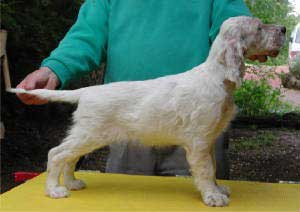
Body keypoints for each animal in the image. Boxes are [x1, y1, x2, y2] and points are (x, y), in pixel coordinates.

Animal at [9, 17, 286, 207]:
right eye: (259, 27)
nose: (283, 29)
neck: (217, 77)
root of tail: (87, 90)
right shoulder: (198, 140)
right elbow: (206, 170)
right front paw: (212, 197)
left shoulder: (208, 140)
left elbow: (214, 166)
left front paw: (218, 190)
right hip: (90, 133)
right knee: (57, 154)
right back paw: (54, 190)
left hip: (88, 135)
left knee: (68, 157)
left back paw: (72, 183)